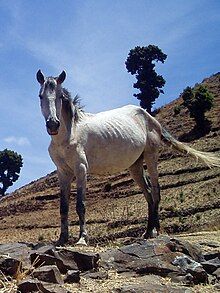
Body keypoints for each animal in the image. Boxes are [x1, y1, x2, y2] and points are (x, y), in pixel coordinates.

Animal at [36, 69, 220, 244]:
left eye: (60, 96)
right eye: (40, 96)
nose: (53, 124)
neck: (69, 135)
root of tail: (151, 118)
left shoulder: (81, 169)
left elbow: (80, 205)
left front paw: (82, 239)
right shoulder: (63, 173)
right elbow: (63, 207)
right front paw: (62, 239)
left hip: (151, 156)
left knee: (155, 191)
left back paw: (155, 231)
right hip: (135, 166)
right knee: (148, 194)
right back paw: (148, 231)